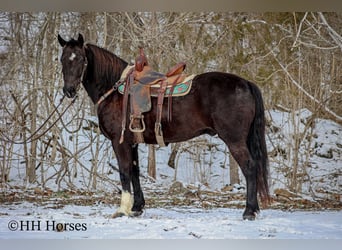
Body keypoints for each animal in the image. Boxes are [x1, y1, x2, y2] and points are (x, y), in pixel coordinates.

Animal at [57, 34, 268, 220]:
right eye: (63, 59)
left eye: (81, 59)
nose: (69, 90)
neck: (114, 89)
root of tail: (246, 83)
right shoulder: (133, 143)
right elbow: (134, 172)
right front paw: (137, 207)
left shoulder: (119, 142)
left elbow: (124, 172)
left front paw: (122, 210)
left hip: (235, 141)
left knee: (250, 168)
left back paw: (249, 211)